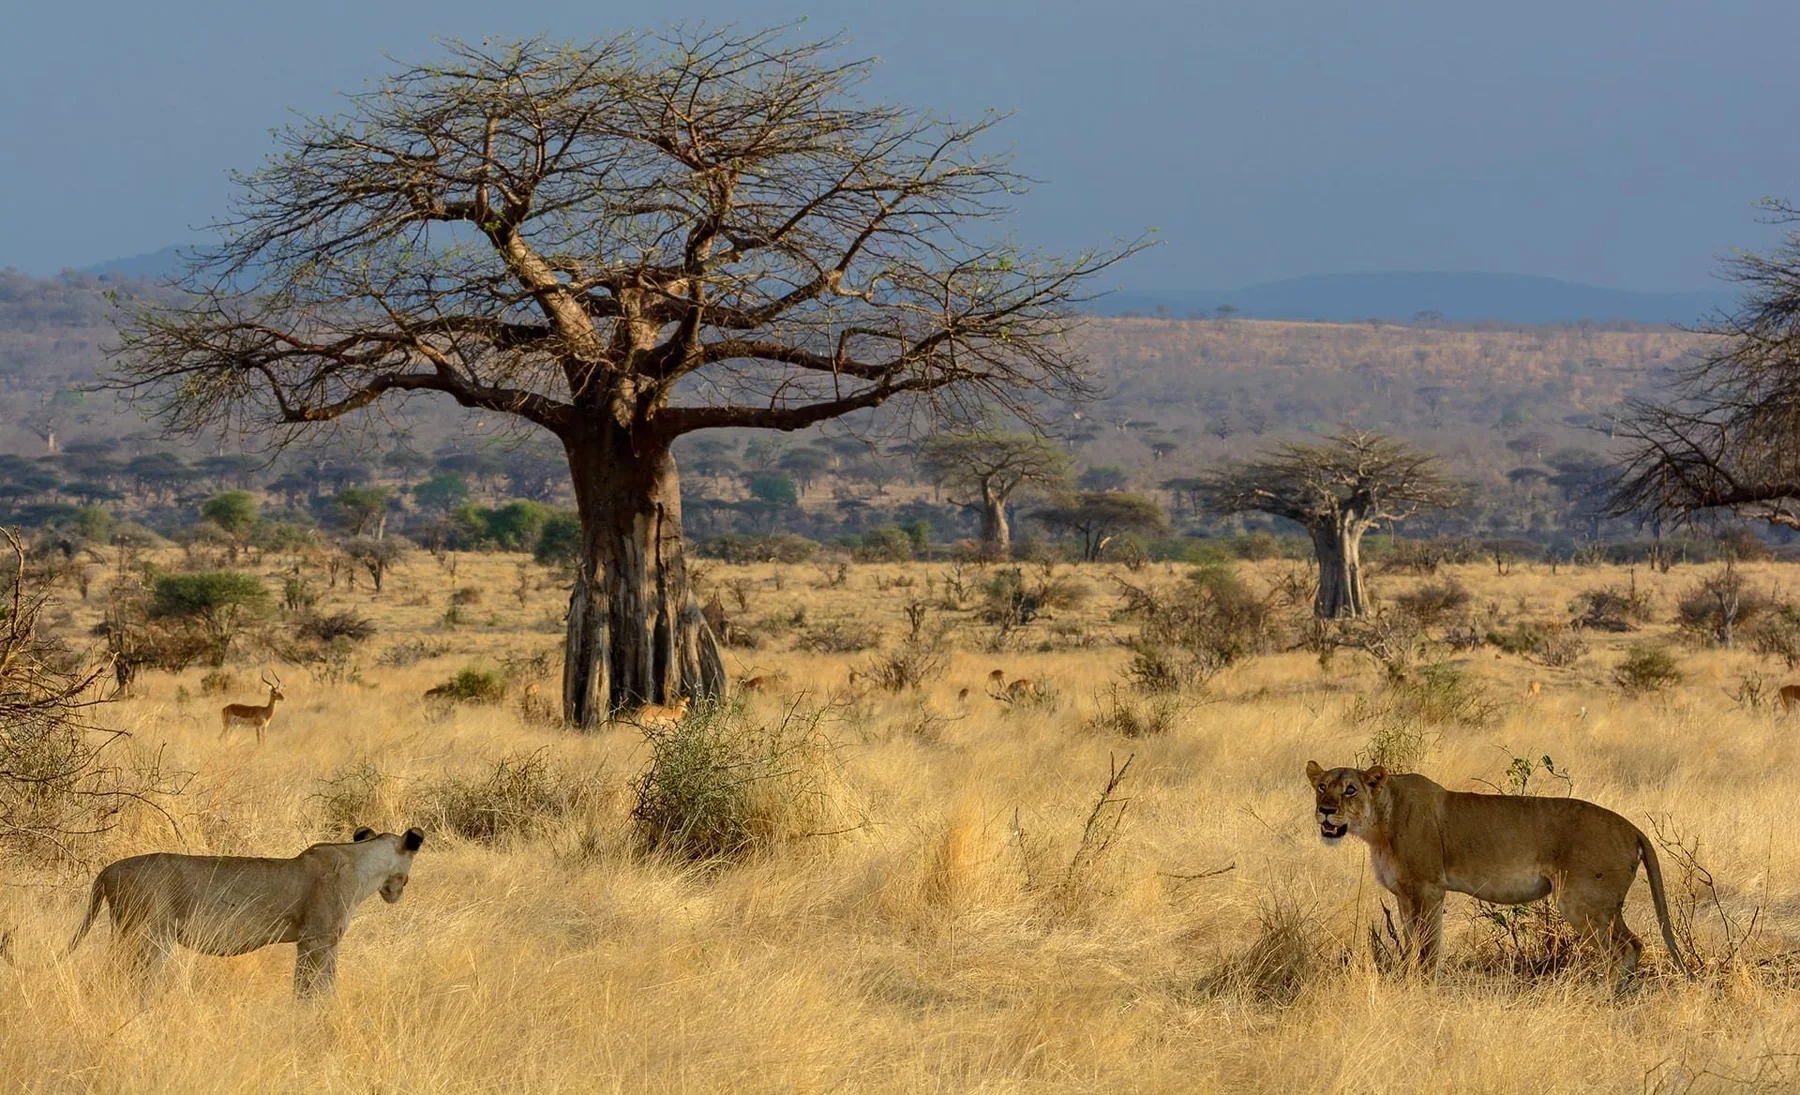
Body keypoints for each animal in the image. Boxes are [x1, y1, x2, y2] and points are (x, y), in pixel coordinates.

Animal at [68, 826, 425, 997]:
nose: (399, 891)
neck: (364, 864)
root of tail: (108, 869)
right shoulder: (315, 940)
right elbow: (309, 987)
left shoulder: (327, 943)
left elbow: (327, 983)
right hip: (148, 936)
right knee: (129, 977)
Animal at [1306, 761, 1691, 986]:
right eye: (1322, 786)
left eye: (1350, 789)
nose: (1325, 810)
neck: (1379, 824)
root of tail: (1631, 827)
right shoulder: (1404, 895)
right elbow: (1414, 941)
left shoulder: (1428, 889)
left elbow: (1428, 947)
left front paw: (1422, 987)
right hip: (1604, 906)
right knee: (1633, 944)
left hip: (1581, 902)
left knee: (1621, 949)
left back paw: (1601, 998)